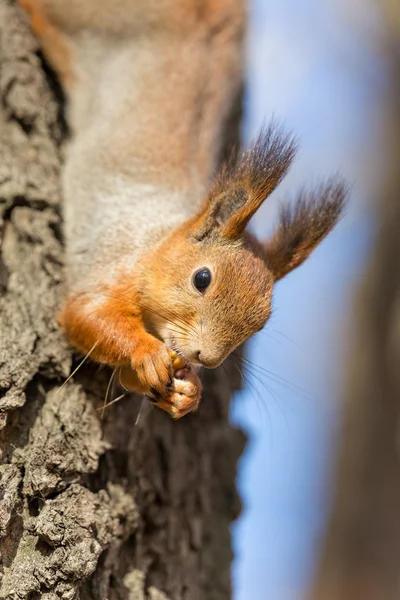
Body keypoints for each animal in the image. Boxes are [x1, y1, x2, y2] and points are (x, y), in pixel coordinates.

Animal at [18, 0, 346, 420]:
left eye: (261, 323)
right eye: (202, 279)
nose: (206, 358)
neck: (157, 243)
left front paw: (187, 392)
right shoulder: (114, 257)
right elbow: (86, 313)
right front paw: (148, 353)